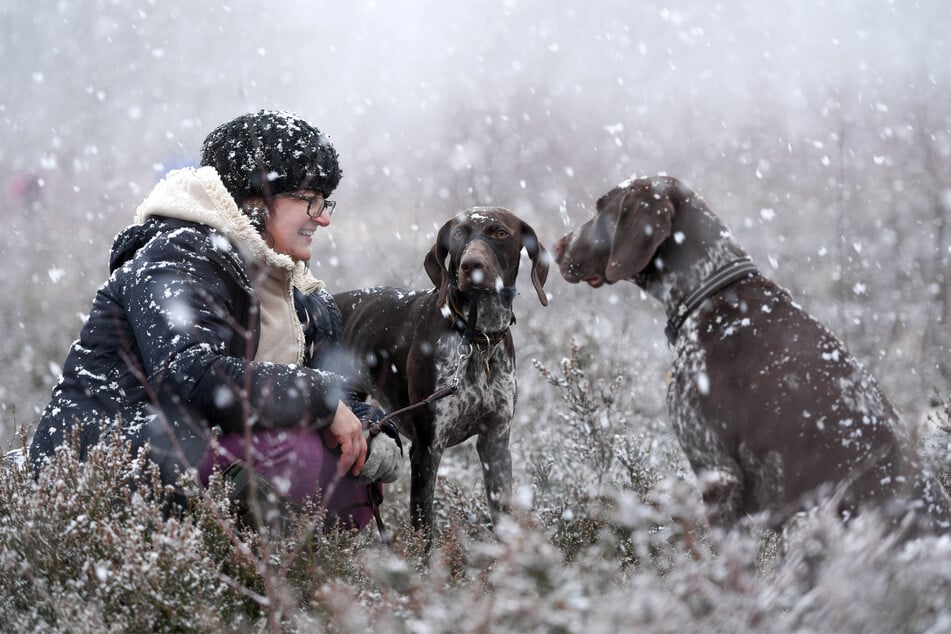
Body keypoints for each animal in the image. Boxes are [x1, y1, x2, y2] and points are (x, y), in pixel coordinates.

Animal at [332, 209, 548, 540]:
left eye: (499, 232)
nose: (471, 265)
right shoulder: (427, 449)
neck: (477, 337)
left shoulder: (496, 444)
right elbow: (424, 531)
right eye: (458, 234)